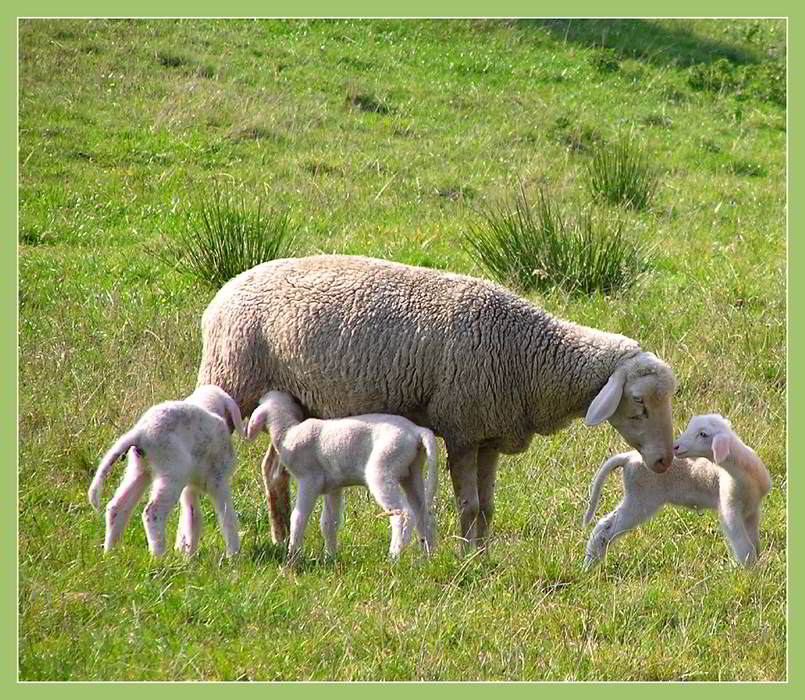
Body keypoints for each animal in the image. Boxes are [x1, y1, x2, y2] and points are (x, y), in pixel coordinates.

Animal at [87, 382, 243, 556]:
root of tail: (140, 433)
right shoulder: (218, 479)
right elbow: (227, 515)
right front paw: (233, 553)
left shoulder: (190, 487)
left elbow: (192, 516)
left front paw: (188, 554)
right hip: (171, 470)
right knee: (153, 512)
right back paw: (159, 555)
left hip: (140, 469)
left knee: (116, 507)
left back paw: (110, 552)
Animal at [248, 392, 440, 560]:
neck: (288, 431)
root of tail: (417, 431)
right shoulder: (333, 487)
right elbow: (329, 522)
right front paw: (330, 557)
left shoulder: (309, 479)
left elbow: (298, 517)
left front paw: (293, 554)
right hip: (412, 472)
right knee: (424, 514)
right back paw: (426, 559)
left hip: (383, 467)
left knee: (403, 514)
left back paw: (394, 557)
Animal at [580, 416, 768, 568]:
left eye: (703, 434)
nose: (675, 447)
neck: (743, 472)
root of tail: (629, 457)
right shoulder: (729, 507)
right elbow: (743, 545)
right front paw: (750, 571)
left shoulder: (751, 510)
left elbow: (754, 542)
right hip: (641, 498)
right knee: (605, 528)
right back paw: (590, 564)